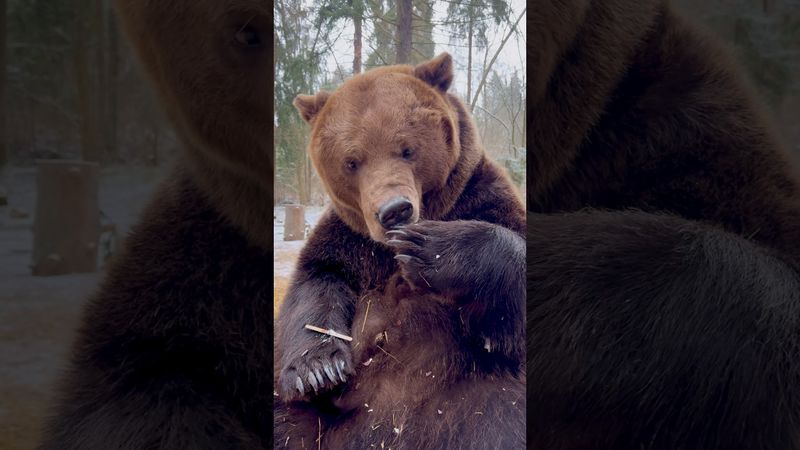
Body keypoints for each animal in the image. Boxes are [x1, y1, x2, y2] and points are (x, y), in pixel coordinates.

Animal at [273, 53, 526, 449]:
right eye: (352, 161)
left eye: (408, 149)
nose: (394, 211)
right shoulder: (349, 240)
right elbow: (315, 284)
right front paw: (317, 369)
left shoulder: (483, 194)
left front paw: (427, 248)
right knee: (286, 423)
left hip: (476, 401)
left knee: (501, 418)